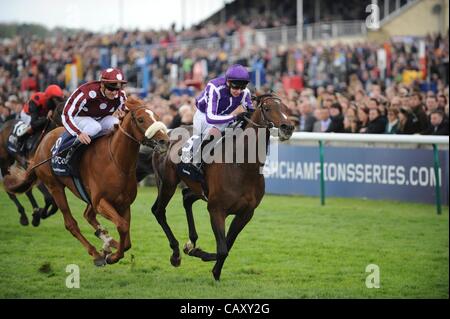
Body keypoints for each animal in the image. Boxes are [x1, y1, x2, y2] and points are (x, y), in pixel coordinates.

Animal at [4, 97, 170, 268]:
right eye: (141, 119)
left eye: (157, 116)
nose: (164, 141)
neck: (116, 162)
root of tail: (41, 145)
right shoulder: (100, 202)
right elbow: (122, 226)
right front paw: (112, 257)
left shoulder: (123, 204)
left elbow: (126, 237)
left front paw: (111, 248)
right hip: (55, 186)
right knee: (71, 223)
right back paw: (96, 253)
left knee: (88, 215)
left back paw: (106, 241)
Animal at [151, 94, 296, 282]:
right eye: (267, 108)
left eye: (286, 108)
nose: (288, 127)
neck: (243, 166)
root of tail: (166, 135)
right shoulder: (216, 209)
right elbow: (222, 249)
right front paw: (199, 254)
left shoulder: (245, 213)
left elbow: (227, 245)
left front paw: (212, 268)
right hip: (167, 184)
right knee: (158, 211)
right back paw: (176, 254)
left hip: (198, 188)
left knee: (186, 197)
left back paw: (191, 241)